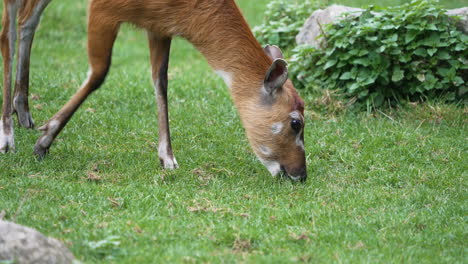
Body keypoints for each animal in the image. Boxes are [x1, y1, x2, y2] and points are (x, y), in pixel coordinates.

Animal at [6, 0, 310, 182]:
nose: (300, 174)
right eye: (296, 123)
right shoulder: (103, 8)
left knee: (26, 20)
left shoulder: (159, 26)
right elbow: (98, 73)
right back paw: (7, 136)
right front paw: (43, 142)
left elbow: (160, 80)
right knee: (10, 27)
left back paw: (23, 112)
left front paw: (168, 159)